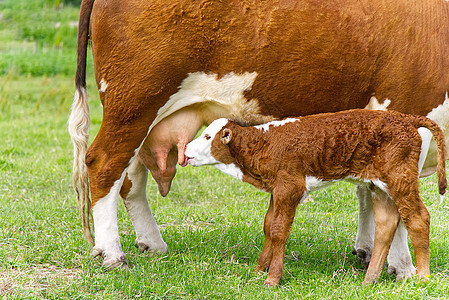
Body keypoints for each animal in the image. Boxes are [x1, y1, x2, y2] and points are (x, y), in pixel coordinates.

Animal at [182, 110, 444, 286]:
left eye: (207, 137)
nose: (184, 150)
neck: (264, 144)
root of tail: (405, 118)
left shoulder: (290, 187)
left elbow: (278, 230)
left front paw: (272, 279)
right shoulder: (277, 190)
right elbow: (268, 226)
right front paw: (258, 270)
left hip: (401, 179)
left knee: (418, 218)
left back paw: (423, 277)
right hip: (379, 185)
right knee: (385, 225)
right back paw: (369, 281)